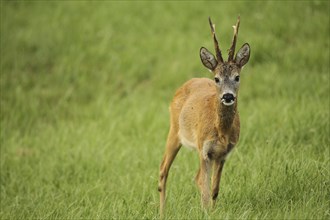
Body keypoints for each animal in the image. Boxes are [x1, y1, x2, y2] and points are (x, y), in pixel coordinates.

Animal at [159, 16, 251, 215]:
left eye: (237, 77)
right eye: (217, 78)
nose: (228, 96)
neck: (221, 130)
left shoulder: (223, 154)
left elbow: (214, 189)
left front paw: (212, 212)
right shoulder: (204, 150)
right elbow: (206, 189)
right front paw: (206, 212)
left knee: (196, 178)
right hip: (174, 131)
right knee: (163, 170)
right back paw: (162, 213)